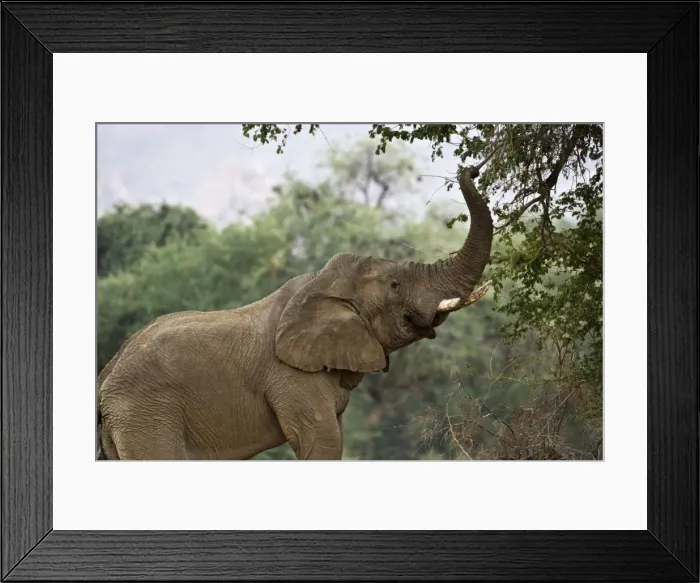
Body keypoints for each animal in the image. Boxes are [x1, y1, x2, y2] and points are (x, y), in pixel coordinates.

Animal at [96, 163, 494, 460]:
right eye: (395, 285)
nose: (470, 168)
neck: (320, 284)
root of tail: (105, 380)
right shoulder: (290, 375)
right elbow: (323, 441)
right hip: (146, 414)